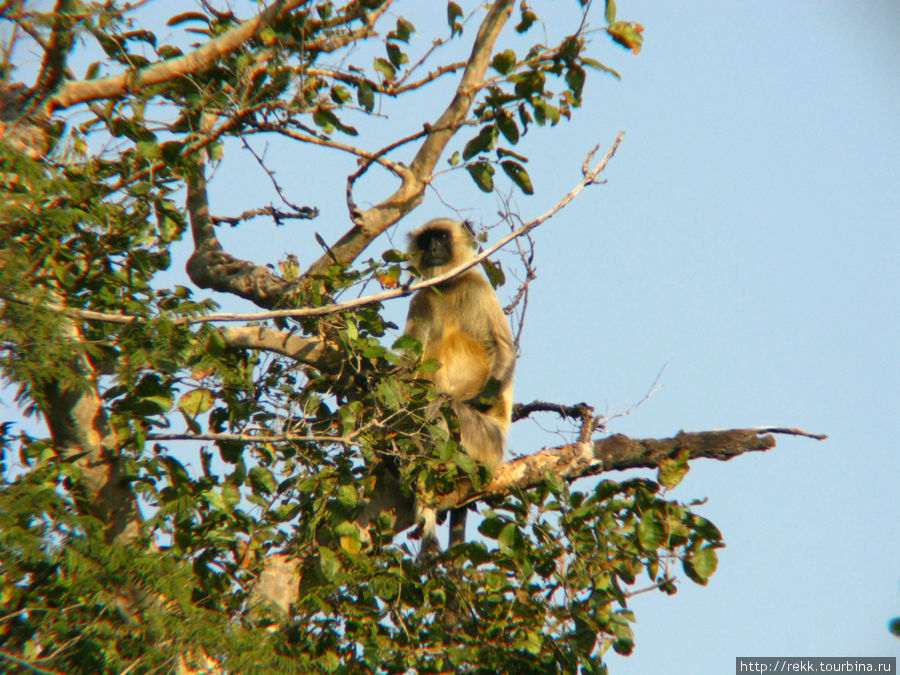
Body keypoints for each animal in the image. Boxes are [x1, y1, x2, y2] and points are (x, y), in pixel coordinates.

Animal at [402, 218, 512, 556]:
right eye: (426, 241)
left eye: (441, 236)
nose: (434, 248)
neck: (449, 285)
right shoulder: (421, 299)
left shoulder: (479, 289)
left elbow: (504, 349)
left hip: (486, 442)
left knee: (442, 411)